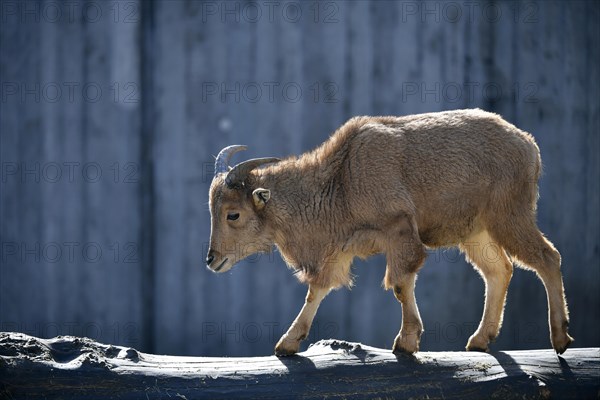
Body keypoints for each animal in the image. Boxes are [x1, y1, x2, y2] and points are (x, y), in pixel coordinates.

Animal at [206, 108, 572, 354]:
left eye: (233, 214)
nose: (212, 260)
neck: (341, 178)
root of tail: (529, 145)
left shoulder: (398, 231)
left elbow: (399, 282)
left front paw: (406, 342)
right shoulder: (339, 249)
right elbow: (318, 290)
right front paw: (287, 343)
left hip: (509, 218)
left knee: (547, 258)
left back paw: (560, 339)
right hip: (477, 233)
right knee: (500, 271)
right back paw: (479, 341)